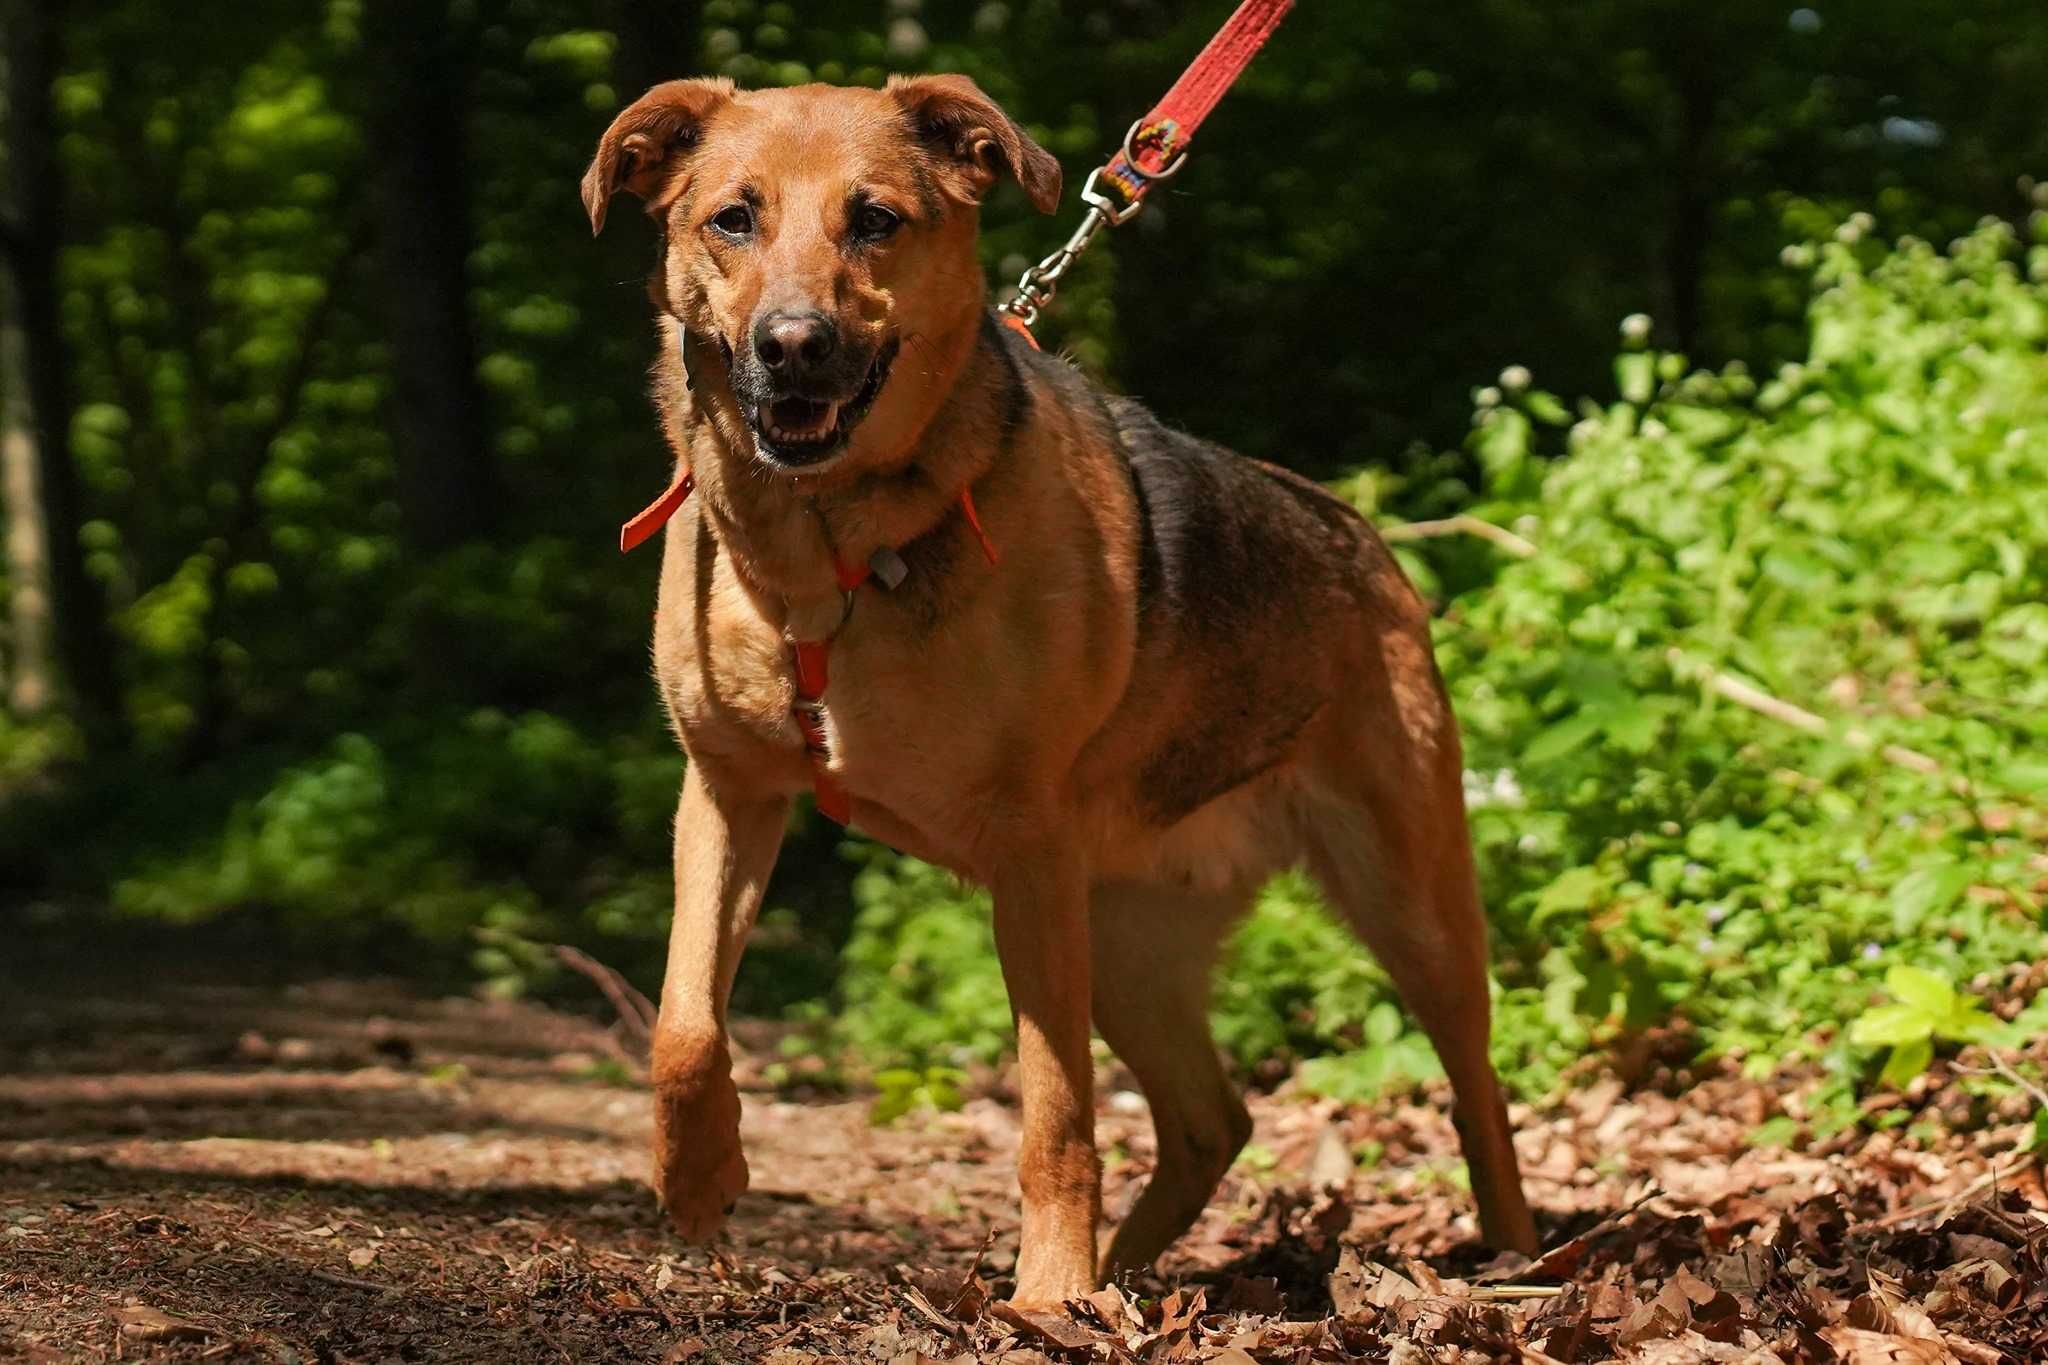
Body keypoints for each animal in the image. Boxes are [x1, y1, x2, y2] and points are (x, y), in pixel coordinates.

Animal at [581, 72, 1540, 1301]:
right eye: (731, 220)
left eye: (876, 220)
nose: (793, 347)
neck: (826, 557)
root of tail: (1362, 541)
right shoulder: (728, 795)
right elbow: (683, 1028)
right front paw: (697, 1178)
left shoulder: (1027, 851)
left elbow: (1054, 1114)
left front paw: (1047, 1297)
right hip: (1126, 942)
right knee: (1211, 1120)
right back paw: (1129, 1274)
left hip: (1407, 909)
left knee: (1478, 1091)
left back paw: (1510, 1257)